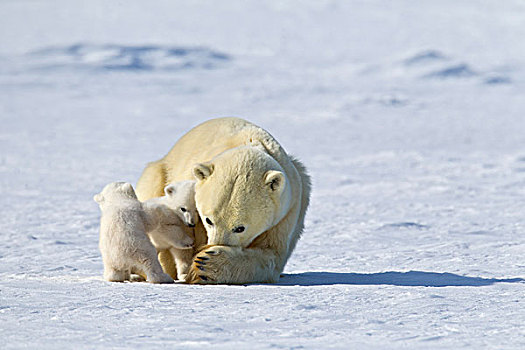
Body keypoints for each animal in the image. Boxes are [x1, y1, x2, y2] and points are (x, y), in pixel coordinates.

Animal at [133, 117, 312, 284]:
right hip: (160, 171)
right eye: (208, 220)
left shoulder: (286, 212)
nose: (214, 243)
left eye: (240, 228)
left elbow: (270, 255)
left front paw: (206, 263)